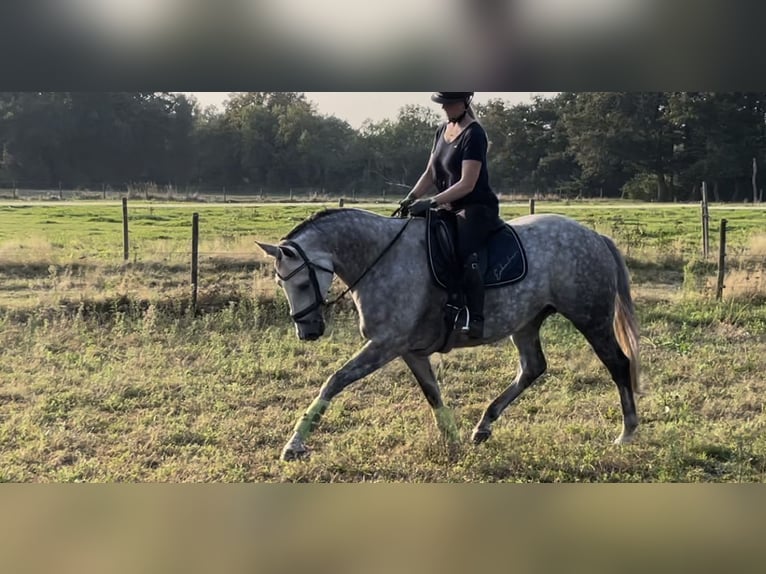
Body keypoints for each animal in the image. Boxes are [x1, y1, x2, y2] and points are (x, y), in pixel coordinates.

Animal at [258, 208, 640, 464]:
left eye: (302, 282)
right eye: (281, 282)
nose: (308, 331)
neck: (379, 258)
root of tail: (593, 237)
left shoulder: (385, 345)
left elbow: (334, 381)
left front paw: (294, 444)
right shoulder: (410, 350)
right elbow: (432, 393)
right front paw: (452, 440)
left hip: (590, 317)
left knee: (618, 364)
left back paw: (627, 432)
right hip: (526, 322)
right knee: (533, 367)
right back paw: (483, 426)